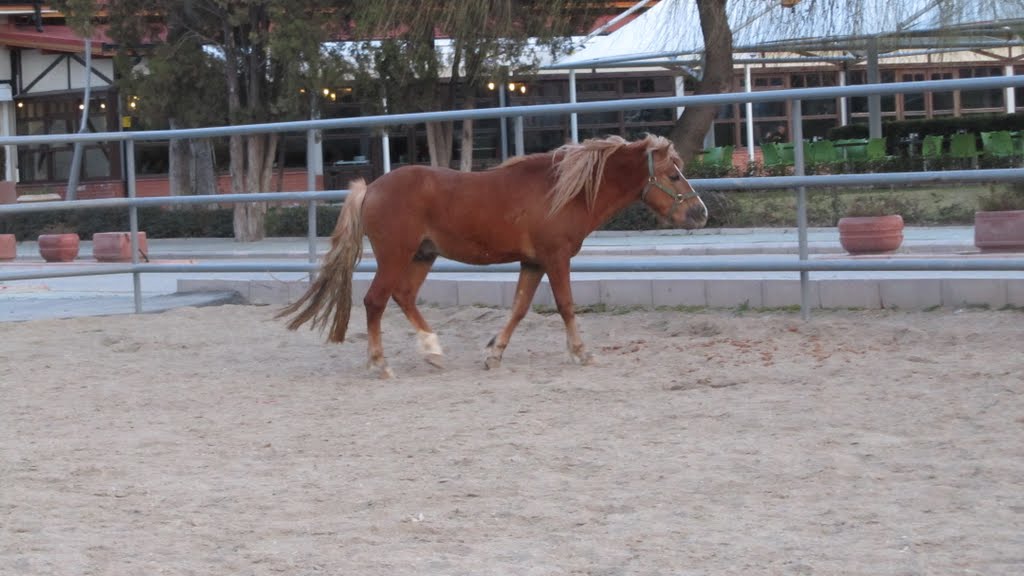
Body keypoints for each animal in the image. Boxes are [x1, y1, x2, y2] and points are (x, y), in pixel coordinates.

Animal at [280, 134, 712, 377]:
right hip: (395, 256)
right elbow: (566, 306)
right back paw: (380, 363)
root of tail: (370, 188)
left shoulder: (533, 262)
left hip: (422, 256)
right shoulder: (555, 258)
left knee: (403, 297)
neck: (562, 192)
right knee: (375, 301)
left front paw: (494, 355)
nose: (700, 213)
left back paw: (433, 352)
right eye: (674, 175)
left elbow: (519, 308)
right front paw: (582, 353)